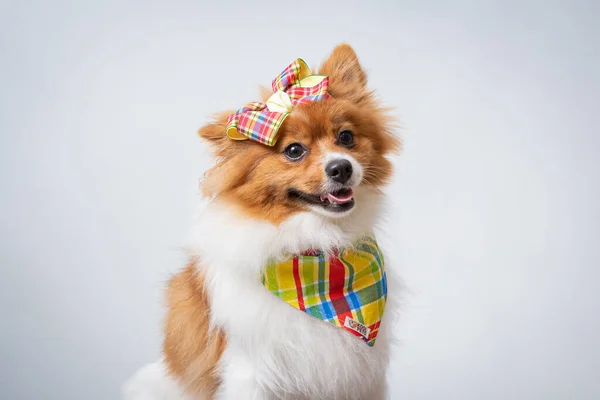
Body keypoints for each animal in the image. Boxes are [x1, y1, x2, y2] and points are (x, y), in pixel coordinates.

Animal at [124, 43, 400, 400]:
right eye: (294, 150)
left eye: (346, 137)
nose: (341, 167)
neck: (316, 251)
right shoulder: (250, 370)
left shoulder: (362, 376)